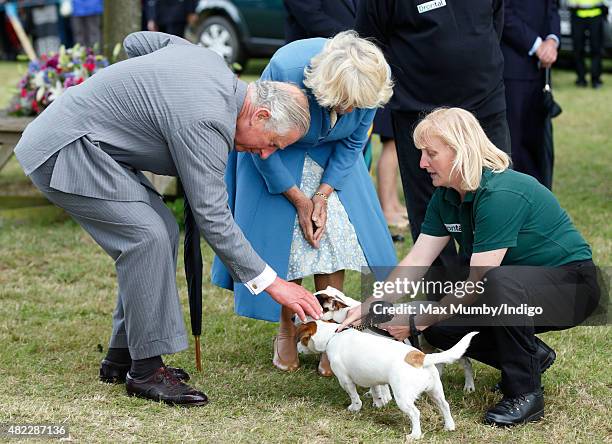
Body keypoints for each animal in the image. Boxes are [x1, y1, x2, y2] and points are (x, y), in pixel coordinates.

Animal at [296, 320, 478, 440]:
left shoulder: (345, 380)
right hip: (435, 391)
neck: (333, 335)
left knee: (415, 413)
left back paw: (415, 435)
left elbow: (354, 396)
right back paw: (449, 426)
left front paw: (354, 408)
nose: (297, 349)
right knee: (444, 405)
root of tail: (420, 357)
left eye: (300, 339)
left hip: (403, 397)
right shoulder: (372, 379)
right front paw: (378, 404)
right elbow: (376, 390)